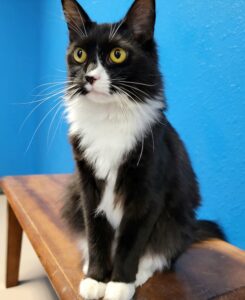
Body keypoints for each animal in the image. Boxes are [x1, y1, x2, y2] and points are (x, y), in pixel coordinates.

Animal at [60, 0, 226, 300]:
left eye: (117, 54)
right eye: (79, 54)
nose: (89, 77)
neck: (108, 119)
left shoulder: (148, 190)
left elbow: (131, 240)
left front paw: (119, 283)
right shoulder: (86, 185)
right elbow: (95, 234)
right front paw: (96, 278)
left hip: (176, 219)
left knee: (162, 252)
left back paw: (141, 272)